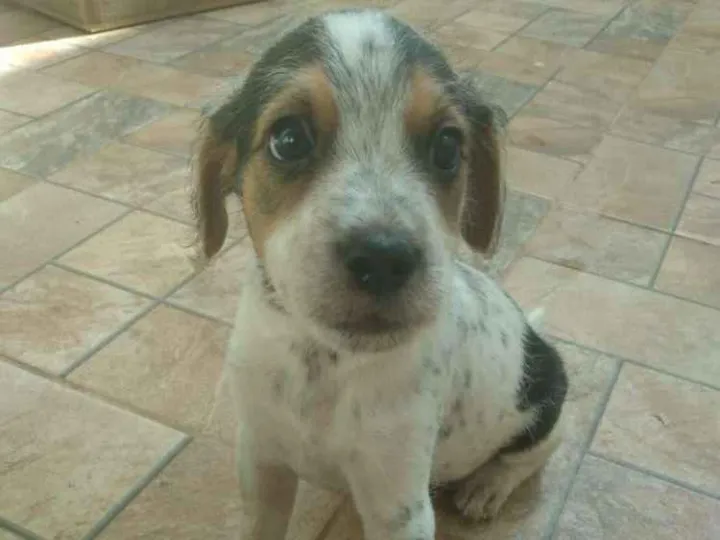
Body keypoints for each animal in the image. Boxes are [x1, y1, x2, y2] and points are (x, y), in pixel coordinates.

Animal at [191, 8, 568, 540]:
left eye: (448, 147)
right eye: (289, 139)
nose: (384, 258)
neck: (323, 361)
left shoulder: (398, 504)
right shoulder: (261, 461)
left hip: (546, 398)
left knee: (538, 450)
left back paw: (487, 487)